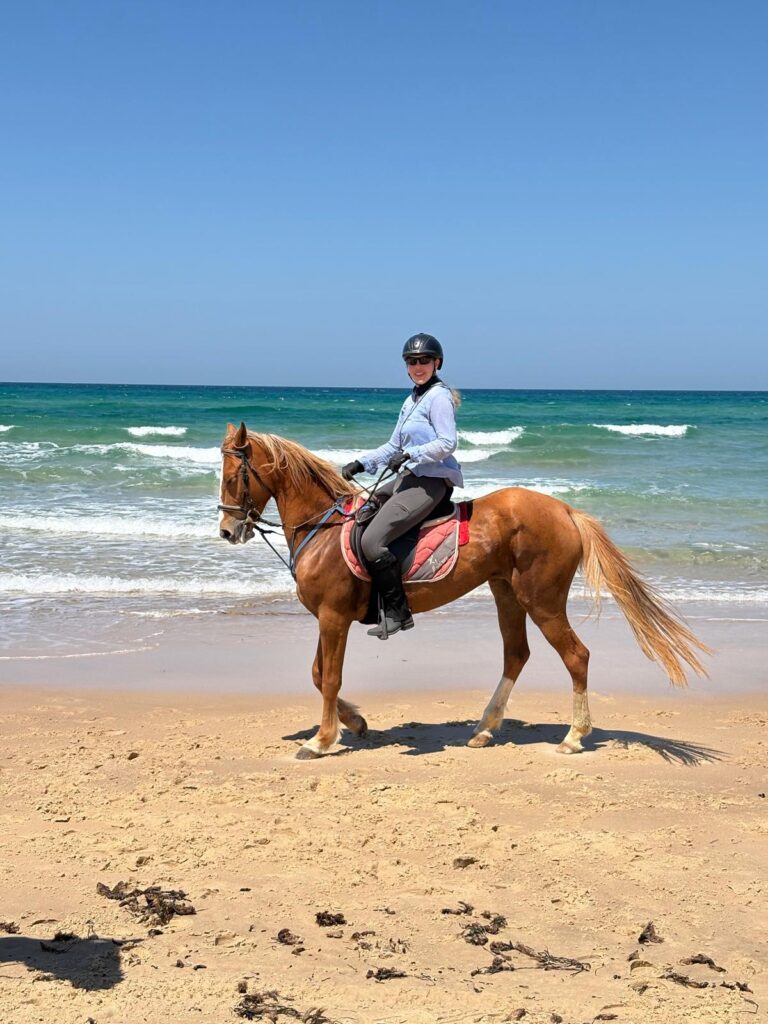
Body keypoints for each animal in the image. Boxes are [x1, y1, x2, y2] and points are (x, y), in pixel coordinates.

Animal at [218, 422, 710, 760]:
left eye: (232, 476)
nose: (226, 531)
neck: (322, 527)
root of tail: (566, 510)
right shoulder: (327, 618)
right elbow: (319, 675)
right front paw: (353, 723)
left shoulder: (334, 617)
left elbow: (330, 677)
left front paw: (321, 741)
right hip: (506, 592)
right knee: (516, 654)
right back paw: (485, 729)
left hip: (542, 599)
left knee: (576, 656)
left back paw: (573, 738)